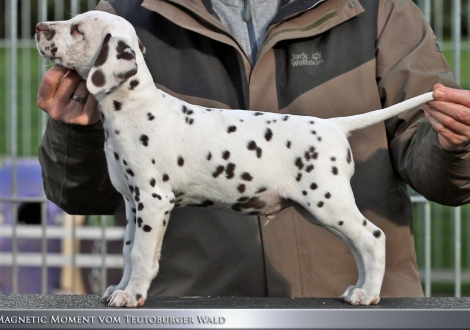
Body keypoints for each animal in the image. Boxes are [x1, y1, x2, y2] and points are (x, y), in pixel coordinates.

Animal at [35, 10, 434, 310]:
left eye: (77, 29)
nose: (39, 27)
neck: (135, 105)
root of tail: (334, 125)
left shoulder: (153, 200)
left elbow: (142, 255)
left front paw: (132, 295)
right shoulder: (133, 206)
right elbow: (129, 248)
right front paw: (119, 289)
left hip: (327, 201)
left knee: (373, 236)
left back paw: (369, 294)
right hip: (321, 210)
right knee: (358, 244)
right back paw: (358, 289)